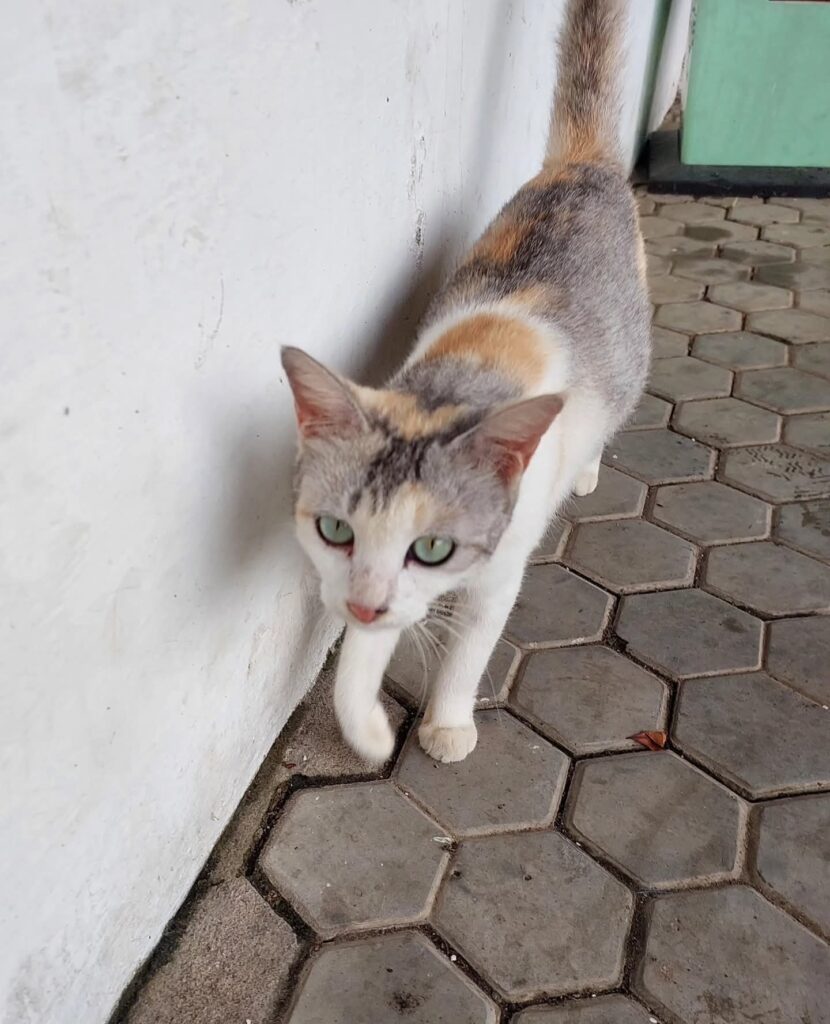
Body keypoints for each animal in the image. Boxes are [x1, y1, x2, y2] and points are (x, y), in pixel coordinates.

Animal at [281, 0, 650, 764]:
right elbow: (363, 651)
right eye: (335, 530)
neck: (461, 381)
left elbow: (469, 647)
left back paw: (589, 468)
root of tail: (580, 163)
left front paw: (447, 723)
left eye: (434, 548)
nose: (363, 604)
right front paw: (367, 725)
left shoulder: (499, 569)